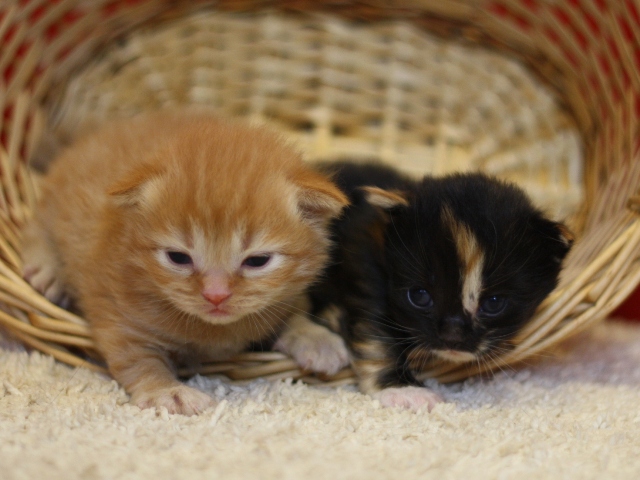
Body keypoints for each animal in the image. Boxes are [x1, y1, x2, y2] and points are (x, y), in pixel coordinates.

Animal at [22, 112, 348, 416]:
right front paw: (167, 391)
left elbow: (294, 312)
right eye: (178, 258)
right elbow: (138, 359)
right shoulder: (116, 312)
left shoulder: (285, 296)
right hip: (57, 202)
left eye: (257, 261)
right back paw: (46, 270)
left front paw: (315, 337)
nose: (216, 295)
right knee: (37, 224)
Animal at [302, 161, 572, 408]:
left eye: (494, 303)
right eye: (419, 296)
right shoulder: (367, 266)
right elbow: (375, 332)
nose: (452, 336)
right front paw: (402, 389)